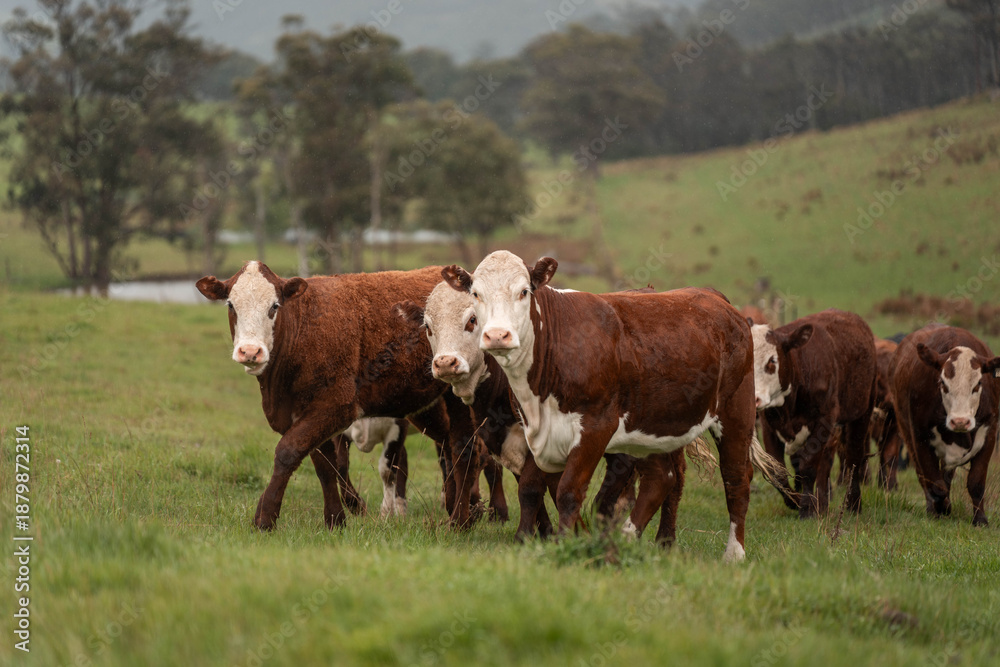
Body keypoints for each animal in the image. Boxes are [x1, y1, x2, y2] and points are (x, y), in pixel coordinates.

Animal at [195, 260, 496, 530]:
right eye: (231, 305)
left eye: (274, 307)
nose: (250, 351)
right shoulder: (306, 414)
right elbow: (326, 463)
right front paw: (335, 520)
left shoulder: (336, 406)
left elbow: (288, 452)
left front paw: (265, 517)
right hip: (427, 408)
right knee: (451, 449)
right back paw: (463, 508)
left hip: (459, 399)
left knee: (466, 450)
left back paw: (461, 520)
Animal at [441, 251, 786, 561]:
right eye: (475, 294)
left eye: (524, 291)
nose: (497, 335)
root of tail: (714, 297)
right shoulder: (536, 429)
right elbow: (529, 488)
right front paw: (523, 541)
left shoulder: (595, 428)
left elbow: (569, 491)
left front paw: (562, 545)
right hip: (653, 425)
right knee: (662, 478)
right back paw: (624, 540)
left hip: (736, 413)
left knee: (736, 478)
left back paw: (734, 553)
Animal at [752, 309, 877, 518]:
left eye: (772, 360)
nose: (753, 398)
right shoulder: (769, 426)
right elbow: (776, 471)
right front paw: (795, 500)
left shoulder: (823, 420)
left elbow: (808, 466)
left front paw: (807, 508)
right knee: (825, 462)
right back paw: (823, 504)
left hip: (862, 412)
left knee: (853, 457)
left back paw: (853, 504)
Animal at [889, 324, 999, 526]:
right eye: (943, 383)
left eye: (978, 383)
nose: (960, 421)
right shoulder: (920, 438)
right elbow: (934, 484)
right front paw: (942, 508)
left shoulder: (990, 433)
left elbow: (976, 483)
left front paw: (980, 520)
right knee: (926, 479)